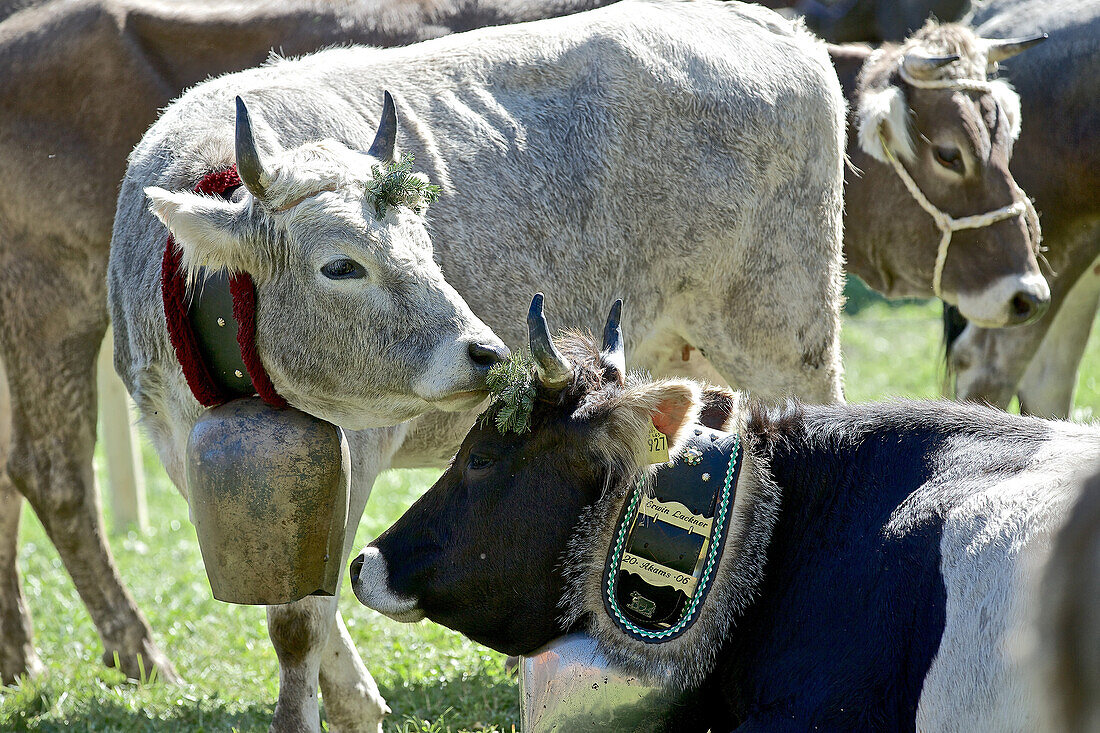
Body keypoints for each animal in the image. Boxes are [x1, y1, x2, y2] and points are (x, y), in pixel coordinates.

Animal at [107, 2, 840, 726]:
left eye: (424, 243)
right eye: (341, 265)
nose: (487, 352)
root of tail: (766, 23)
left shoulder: (356, 447)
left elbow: (300, 621)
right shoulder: (176, 448)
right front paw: (355, 702)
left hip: (785, 336)